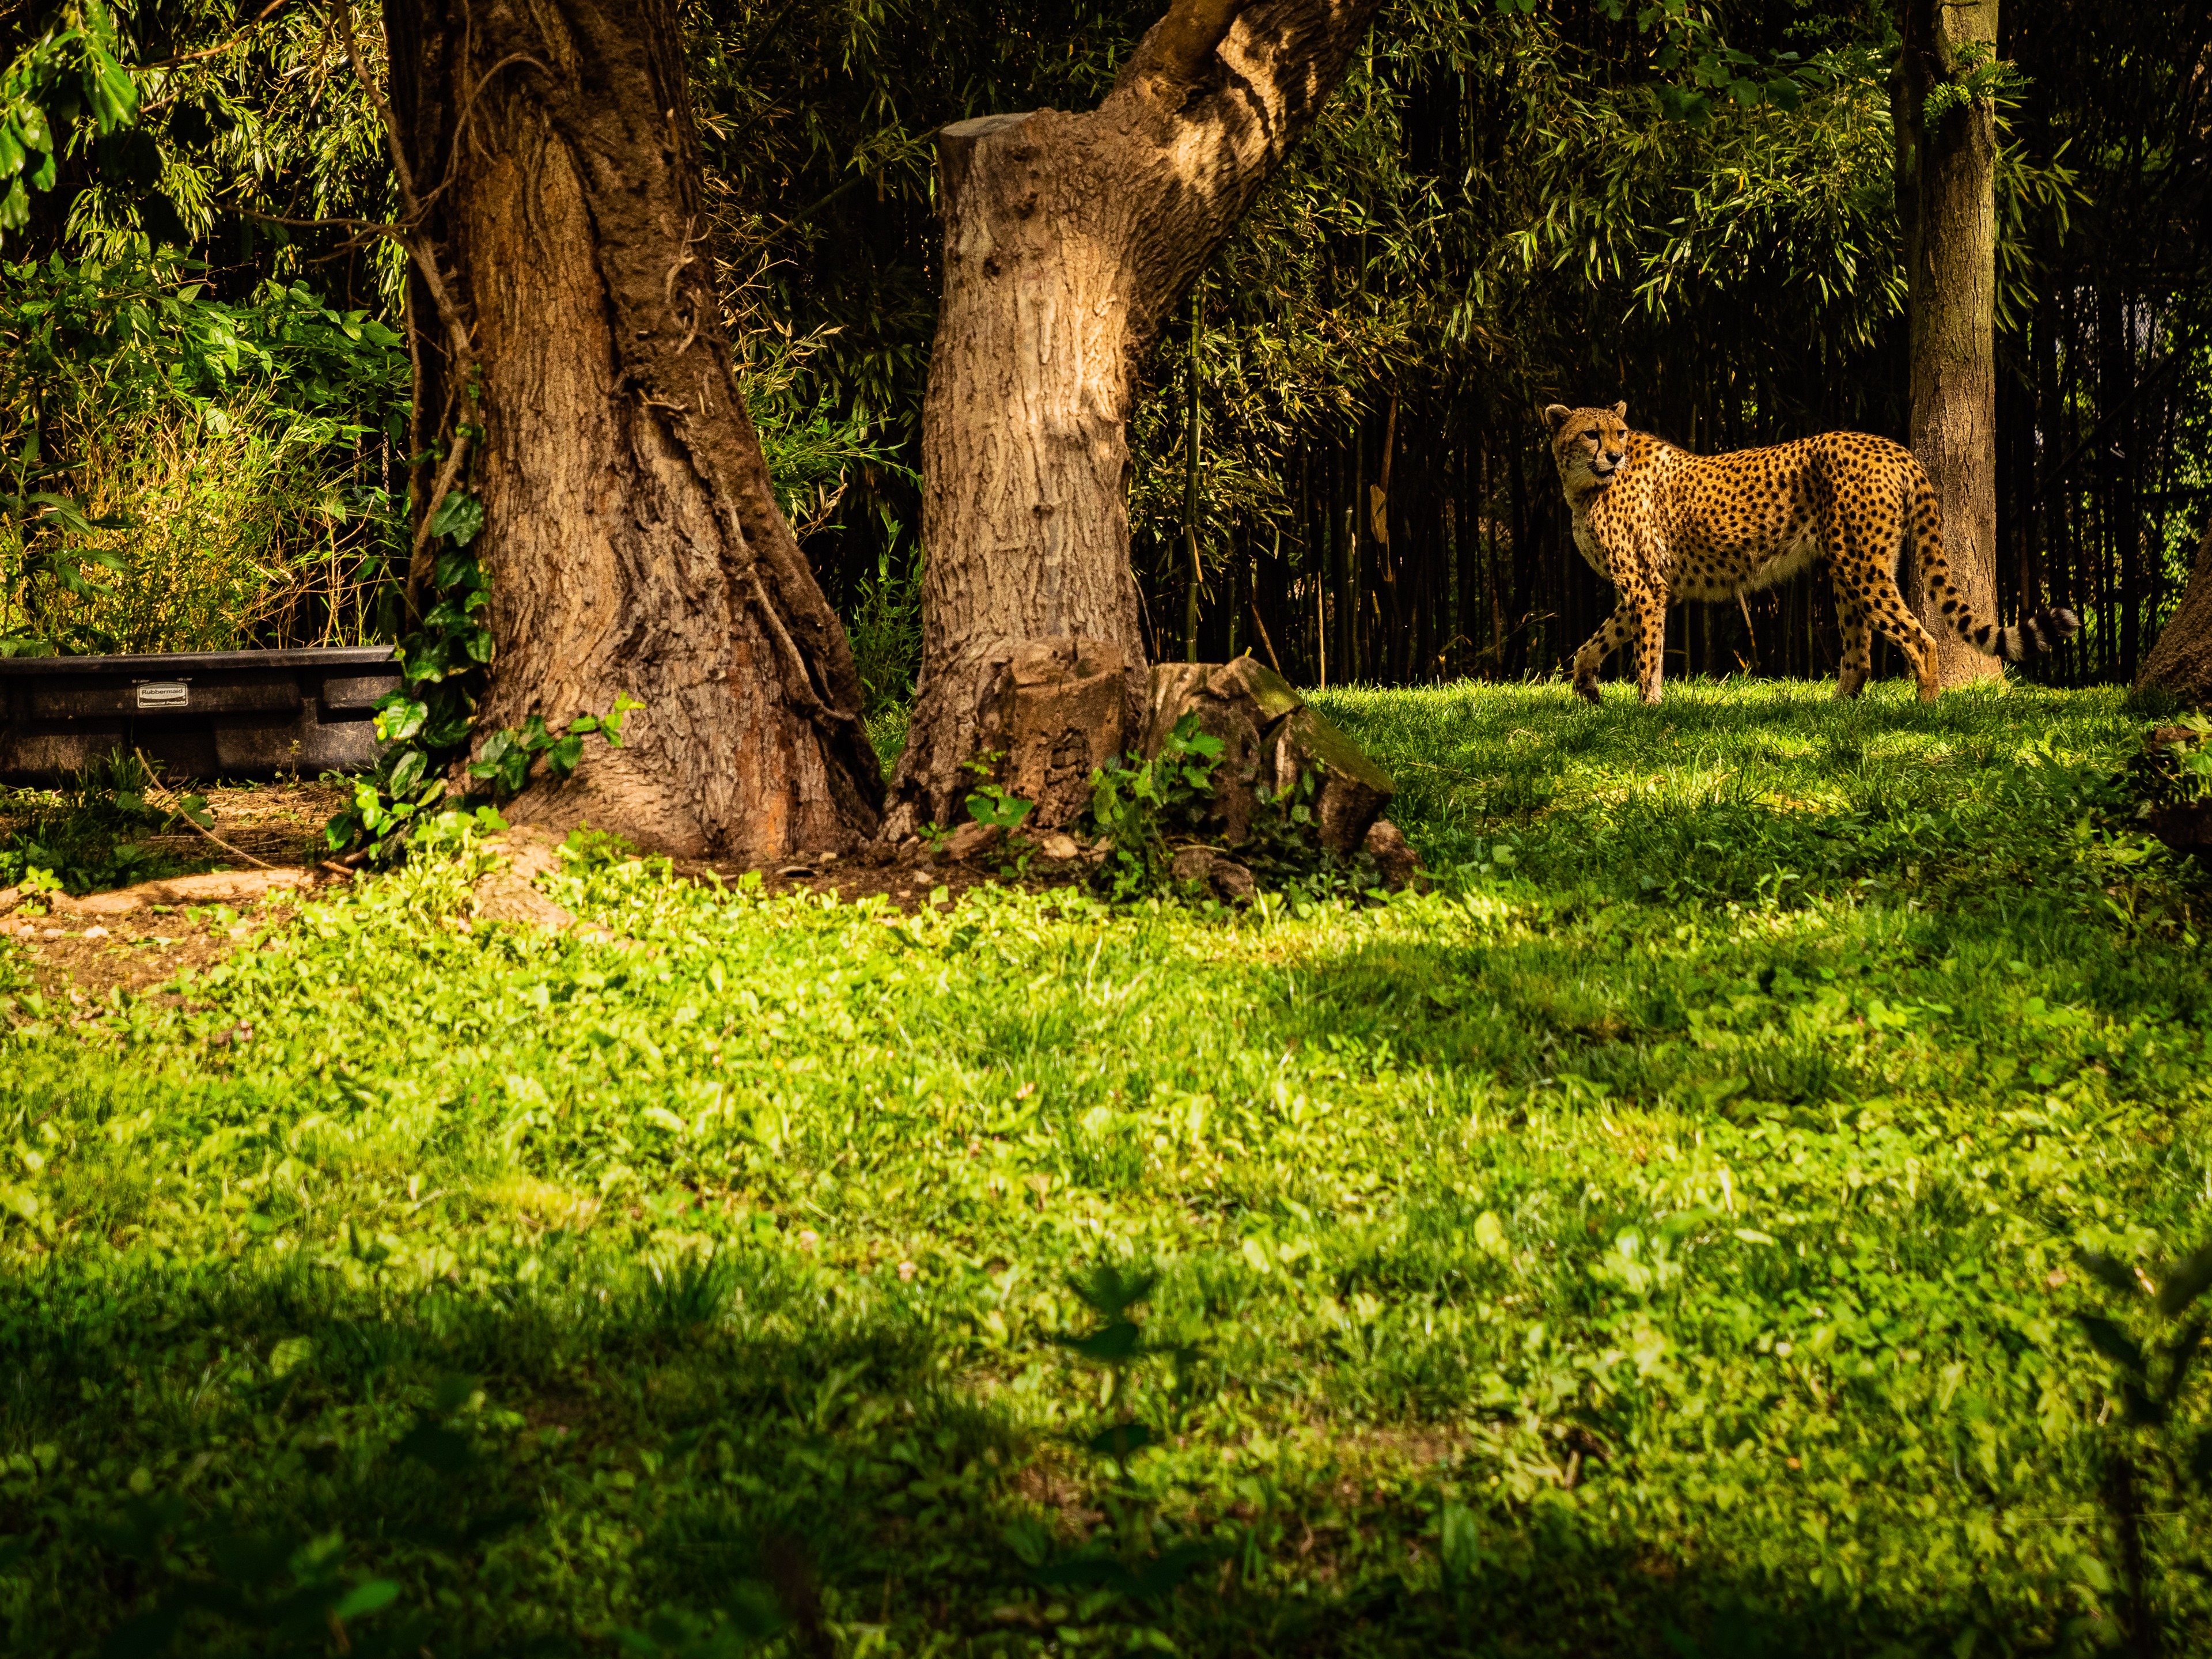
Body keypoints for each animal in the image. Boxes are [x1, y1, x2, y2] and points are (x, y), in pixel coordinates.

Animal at [1541, 401, 2079, 705]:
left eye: (1620, 434)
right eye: (1592, 433)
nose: (1615, 455)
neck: (1583, 485)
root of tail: (1891, 445)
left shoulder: (1645, 586)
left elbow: (1645, 654)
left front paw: (1646, 709)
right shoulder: (1649, 589)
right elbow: (1592, 644)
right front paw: (1588, 689)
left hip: (1862, 566)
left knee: (1919, 638)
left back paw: (1926, 713)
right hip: (1853, 567)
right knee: (1860, 653)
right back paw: (1836, 711)